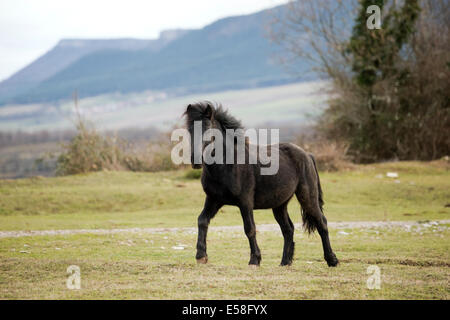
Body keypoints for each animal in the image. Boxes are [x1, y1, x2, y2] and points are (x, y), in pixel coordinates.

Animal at [185, 101, 338, 266]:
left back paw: (332, 260)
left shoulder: (245, 202)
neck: (228, 165)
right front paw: (201, 256)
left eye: (208, 129)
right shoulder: (214, 199)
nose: (196, 160)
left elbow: (249, 228)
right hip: (279, 205)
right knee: (288, 229)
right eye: (189, 130)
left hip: (307, 197)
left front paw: (254, 260)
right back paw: (285, 262)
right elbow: (202, 220)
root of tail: (307, 155)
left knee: (321, 223)